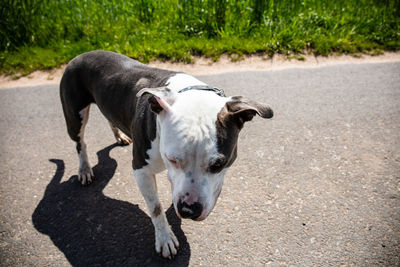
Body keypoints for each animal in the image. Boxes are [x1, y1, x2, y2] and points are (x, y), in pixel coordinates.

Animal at [59, 50, 274, 260]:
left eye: (218, 165)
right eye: (172, 159)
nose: (188, 210)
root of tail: (80, 55)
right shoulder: (141, 170)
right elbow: (155, 207)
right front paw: (165, 238)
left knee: (109, 120)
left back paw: (119, 136)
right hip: (74, 117)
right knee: (80, 143)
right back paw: (84, 169)